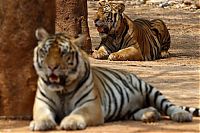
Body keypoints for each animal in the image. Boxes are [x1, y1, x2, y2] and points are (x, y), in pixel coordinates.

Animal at [29, 27, 198, 131]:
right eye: (45, 52)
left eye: (64, 53)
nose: (52, 67)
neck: (62, 90)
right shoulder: (41, 103)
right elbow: (41, 113)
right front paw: (40, 123)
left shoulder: (91, 105)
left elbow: (79, 112)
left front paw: (71, 121)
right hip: (129, 108)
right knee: (145, 110)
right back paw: (150, 114)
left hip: (149, 90)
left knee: (169, 105)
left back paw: (181, 115)